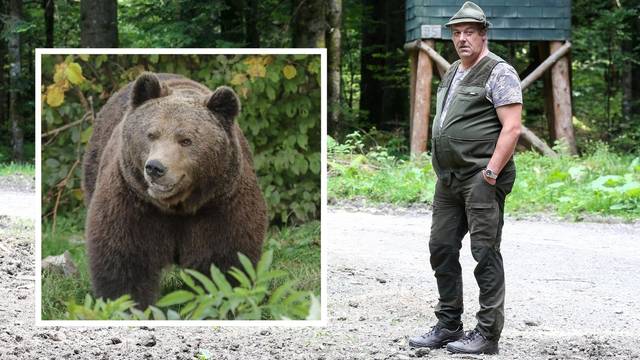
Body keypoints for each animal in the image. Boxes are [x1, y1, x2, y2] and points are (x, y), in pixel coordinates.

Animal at [82, 71, 268, 308]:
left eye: (186, 140)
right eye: (151, 134)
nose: (155, 167)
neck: (178, 206)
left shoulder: (221, 204)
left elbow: (224, 260)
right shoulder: (133, 201)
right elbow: (126, 260)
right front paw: (127, 304)